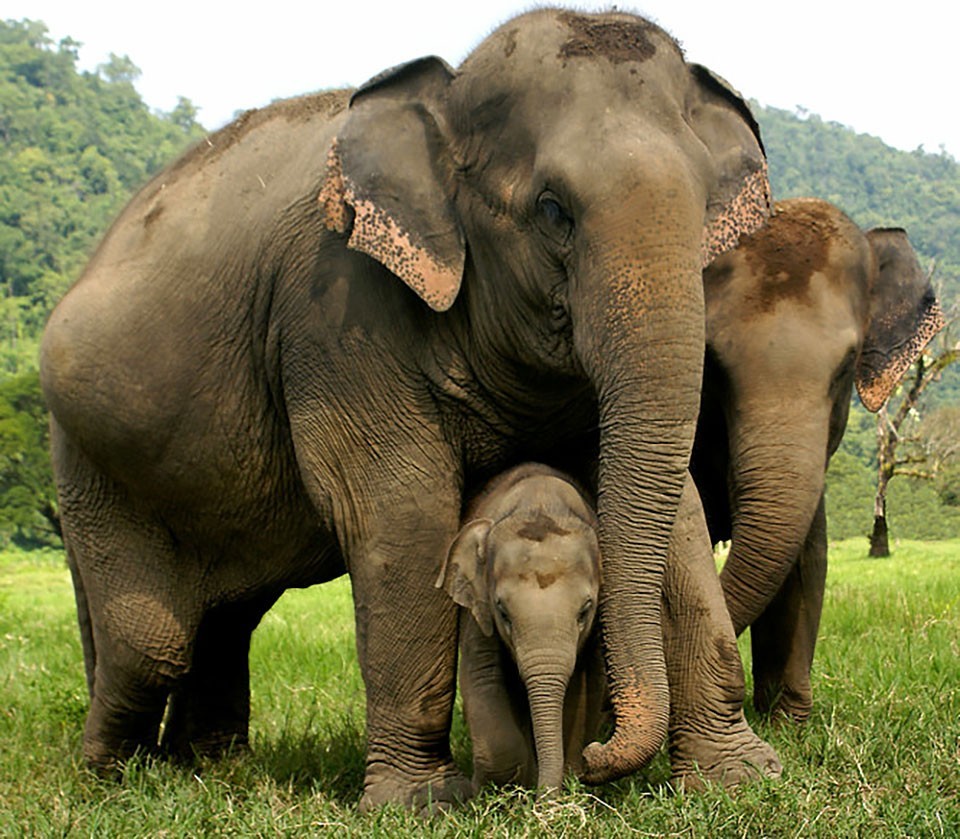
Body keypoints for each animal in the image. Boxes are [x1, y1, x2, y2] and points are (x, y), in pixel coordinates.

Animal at [438, 466, 604, 796]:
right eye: (503, 613)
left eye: (584, 611)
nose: (544, 801)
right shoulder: (478, 609)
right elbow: (482, 675)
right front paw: (487, 793)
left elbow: (584, 686)